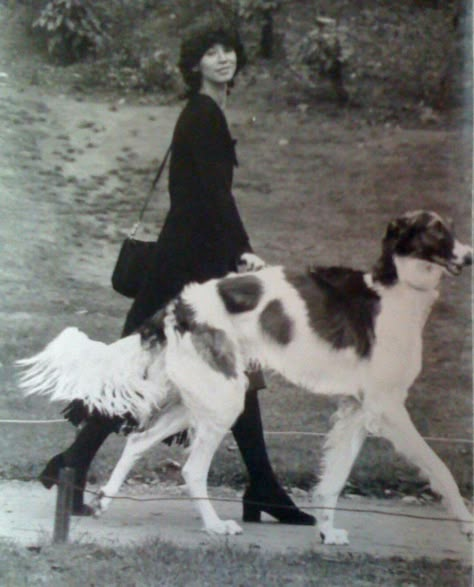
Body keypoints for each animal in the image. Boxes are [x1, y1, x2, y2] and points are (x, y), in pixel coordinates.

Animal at [16, 209, 472, 544]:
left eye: (450, 228)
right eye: (435, 230)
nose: (469, 256)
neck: (396, 293)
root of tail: (176, 307)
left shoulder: (357, 411)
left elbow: (334, 480)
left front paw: (327, 533)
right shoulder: (386, 407)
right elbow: (441, 470)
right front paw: (466, 525)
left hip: (198, 400)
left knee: (137, 440)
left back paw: (104, 500)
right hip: (225, 398)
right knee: (191, 469)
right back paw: (215, 526)